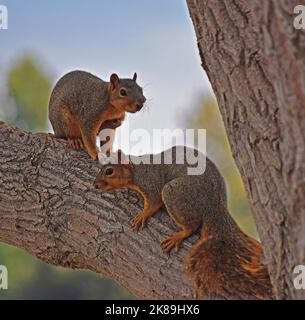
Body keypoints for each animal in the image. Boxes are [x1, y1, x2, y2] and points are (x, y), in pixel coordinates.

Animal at [94, 146, 272, 298]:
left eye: (109, 171)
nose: (95, 185)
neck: (136, 169)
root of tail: (215, 205)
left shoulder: (151, 182)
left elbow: (153, 202)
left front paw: (143, 215)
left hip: (176, 193)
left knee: (191, 225)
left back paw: (178, 236)